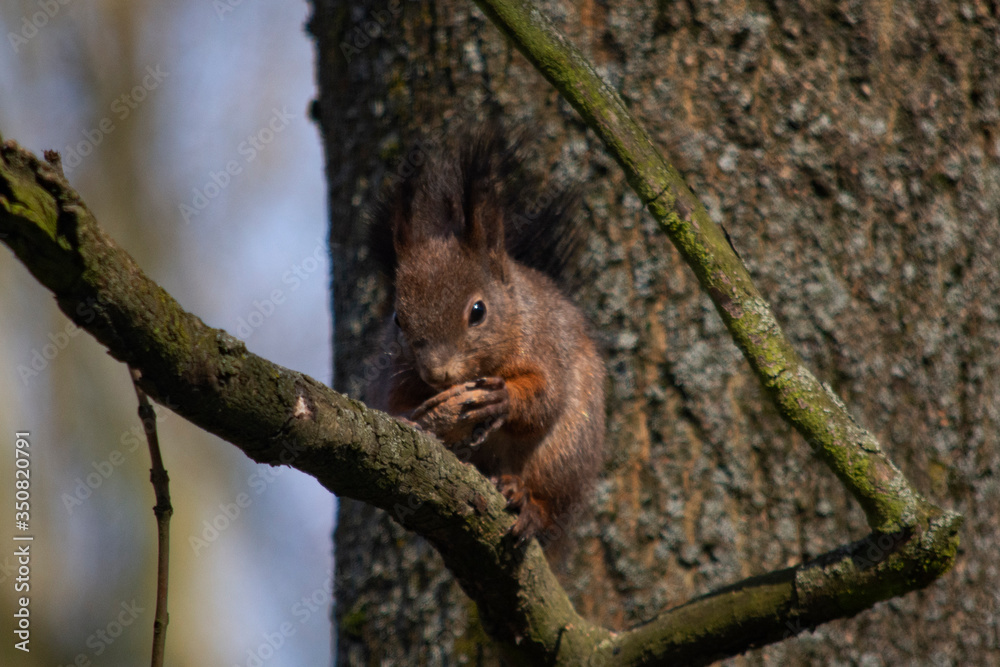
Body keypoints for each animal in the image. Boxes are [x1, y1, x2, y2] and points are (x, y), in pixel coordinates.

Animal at [366, 126, 600, 548]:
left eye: (478, 311)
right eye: (397, 319)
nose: (436, 373)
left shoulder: (546, 344)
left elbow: (547, 397)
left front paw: (502, 399)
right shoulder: (396, 371)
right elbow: (393, 403)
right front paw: (412, 417)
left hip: (567, 453)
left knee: (550, 498)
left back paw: (528, 504)